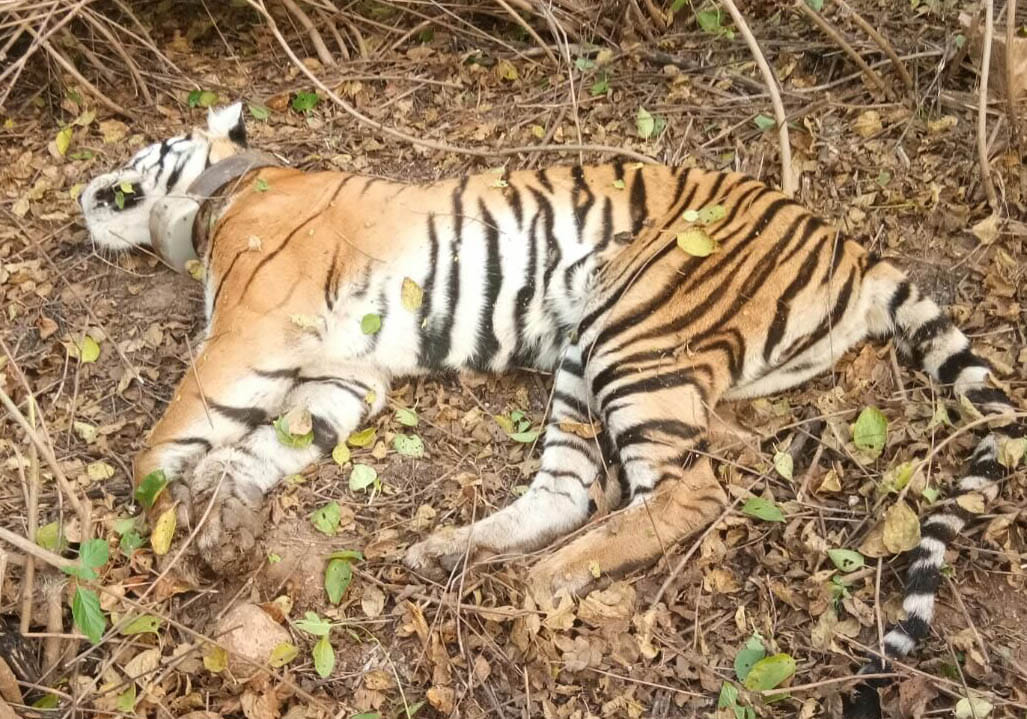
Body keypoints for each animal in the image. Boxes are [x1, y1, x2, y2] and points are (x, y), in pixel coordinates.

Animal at [80, 103, 1022, 718]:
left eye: (142, 148)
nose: (88, 187)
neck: (224, 195)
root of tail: (848, 245)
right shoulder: (346, 375)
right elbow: (263, 444)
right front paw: (224, 514)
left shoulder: (252, 324)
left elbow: (172, 428)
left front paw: (165, 510)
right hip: (582, 352)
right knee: (576, 487)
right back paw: (453, 551)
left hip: (635, 330)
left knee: (690, 487)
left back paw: (548, 577)